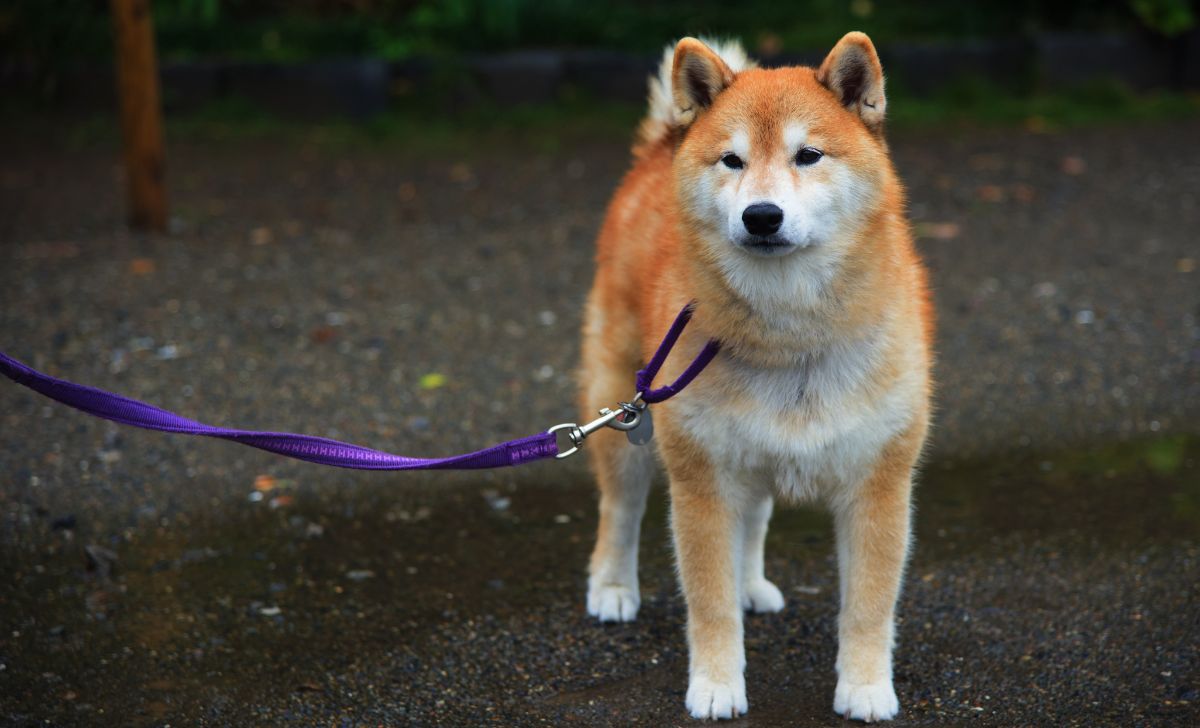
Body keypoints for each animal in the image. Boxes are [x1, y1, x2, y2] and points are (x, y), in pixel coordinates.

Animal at [576, 31, 931, 719]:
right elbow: (708, 604)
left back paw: (750, 583)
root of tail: (661, 147)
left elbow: (869, 606)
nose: (761, 216)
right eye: (732, 161)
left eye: (808, 155)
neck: (788, 336)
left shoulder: (878, 484)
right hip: (626, 414)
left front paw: (866, 687)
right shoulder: (702, 484)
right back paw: (611, 586)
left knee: (754, 519)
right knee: (620, 507)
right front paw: (715, 685)